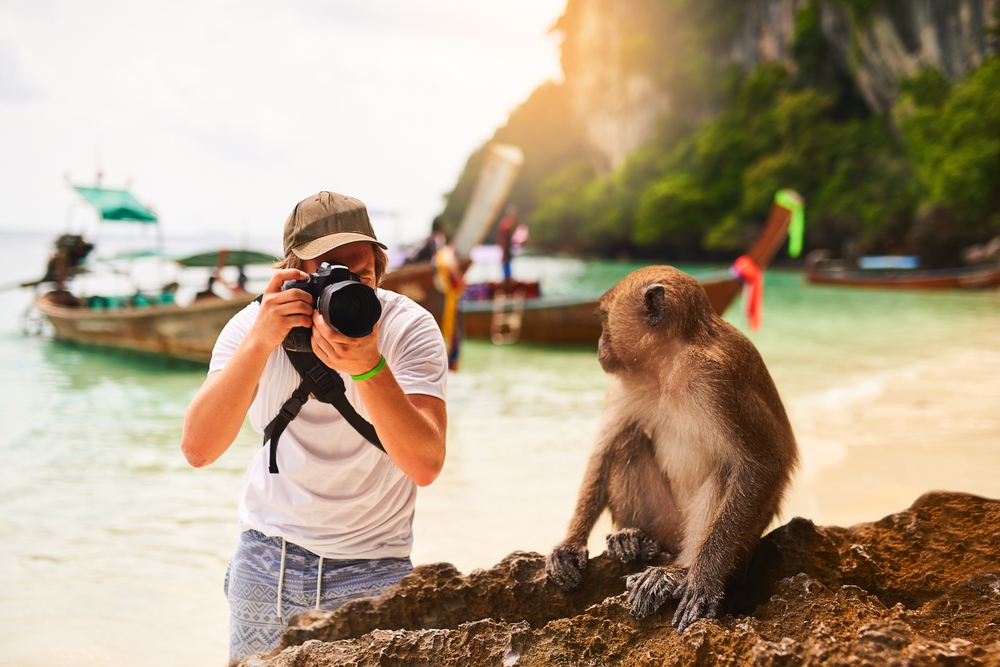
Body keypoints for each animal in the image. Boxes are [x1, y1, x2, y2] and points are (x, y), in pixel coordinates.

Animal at [545, 265, 798, 633]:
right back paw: (635, 539)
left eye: (604, 320)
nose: (599, 345)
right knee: (627, 440)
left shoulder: (717, 379)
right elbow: (604, 449)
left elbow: (765, 461)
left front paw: (702, 578)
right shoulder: (627, 382)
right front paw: (570, 544)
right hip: (666, 520)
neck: (669, 362)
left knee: (728, 471)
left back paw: (677, 571)